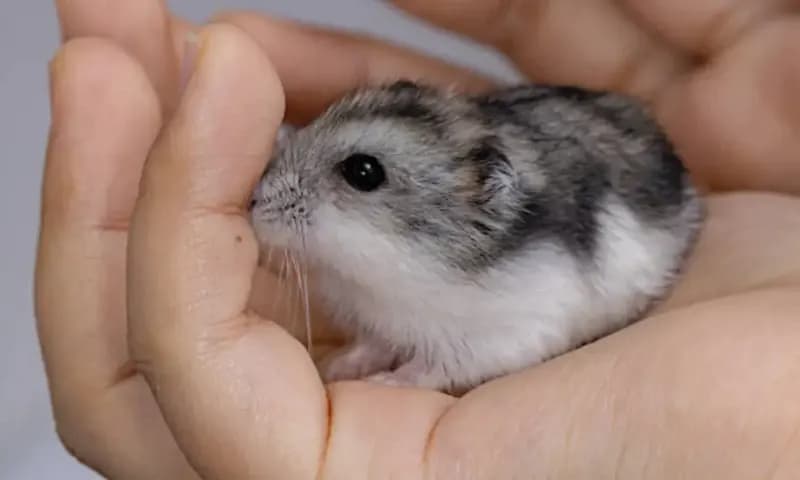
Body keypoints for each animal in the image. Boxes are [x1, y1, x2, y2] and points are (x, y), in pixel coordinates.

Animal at [249, 80, 704, 394]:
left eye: (363, 172)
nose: (253, 203)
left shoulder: (500, 335)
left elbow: (434, 366)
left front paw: (385, 382)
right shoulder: (378, 319)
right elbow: (374, 343)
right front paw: (341, 365)